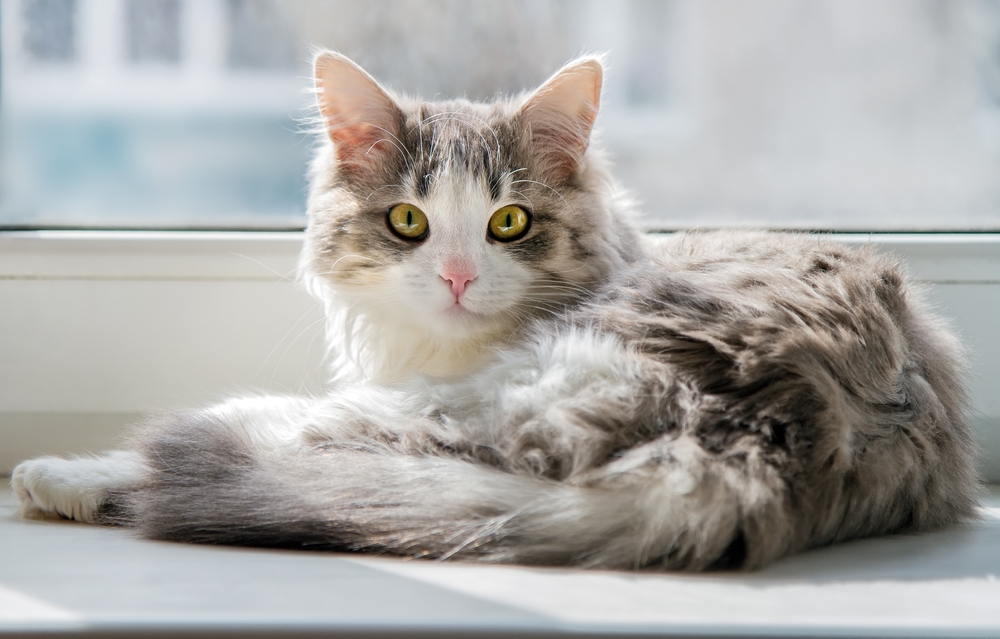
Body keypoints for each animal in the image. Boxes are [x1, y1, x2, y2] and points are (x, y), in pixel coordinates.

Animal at [9, 50, 976, 568]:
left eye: (509, 221)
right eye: (408, 220)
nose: (458, 277)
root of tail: (771, 434)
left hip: (478, 401)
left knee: (273, 438)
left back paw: (70, 475)